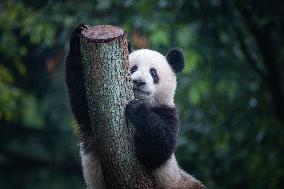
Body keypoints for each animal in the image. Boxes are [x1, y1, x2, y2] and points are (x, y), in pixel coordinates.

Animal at [65, 24, 203, 188]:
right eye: (133, 68)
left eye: (153, 72)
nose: (139, 82)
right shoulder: (90, 114)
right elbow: (79, 95)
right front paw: (77, 36)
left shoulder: (168, 113)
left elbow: (159, 149)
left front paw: (137, 110)